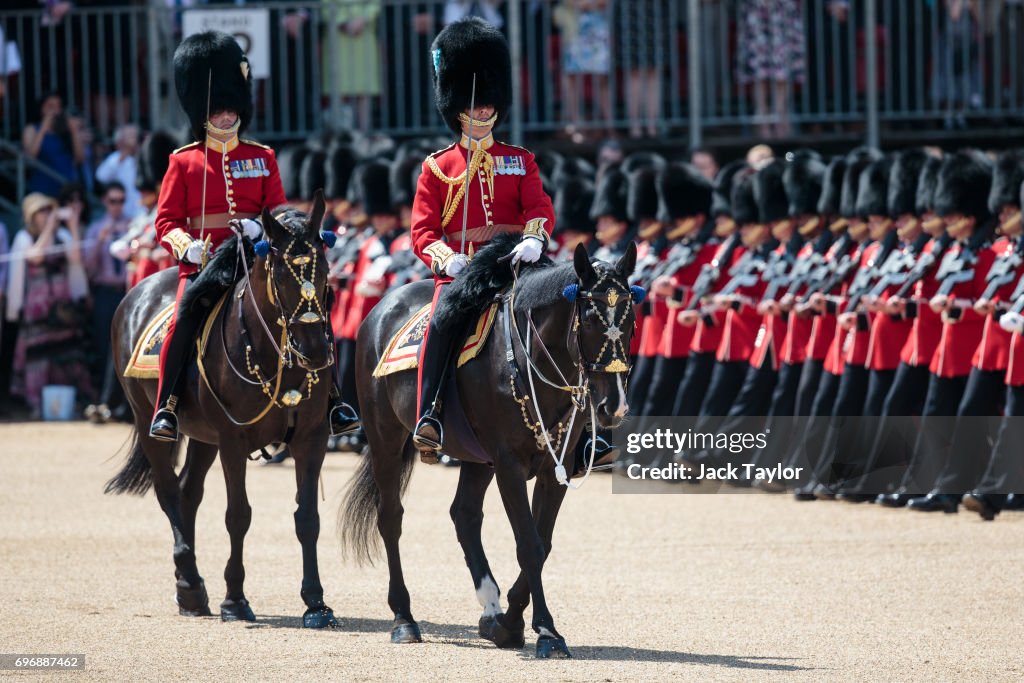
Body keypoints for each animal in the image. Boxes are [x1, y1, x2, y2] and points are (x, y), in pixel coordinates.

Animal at [108, 193, 339, 630]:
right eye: (280, 274)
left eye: (325, 272)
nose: (316, 352)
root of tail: (138, 290)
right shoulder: (234, 439)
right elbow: (238, 515)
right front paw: (235, 599)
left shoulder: (311, 438)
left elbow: (308, 518)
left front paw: (316, 603)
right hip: (150, 422)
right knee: (168, 491)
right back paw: (190, 585)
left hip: (203, 436)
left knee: (187, 492)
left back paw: (190, 586)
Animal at [339, 239, 634, 655]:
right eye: (589, 320)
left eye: (631, 320)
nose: (614, 407)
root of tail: (382, 306)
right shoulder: (509, 465)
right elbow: (529, 545)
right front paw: (545, 631)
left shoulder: (553, 468)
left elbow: (542, 543)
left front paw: (508, 623)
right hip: (386, 441)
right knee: (390, 518)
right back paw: (404, 618)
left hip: (478, 458)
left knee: (463, 515)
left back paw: (490, 605)